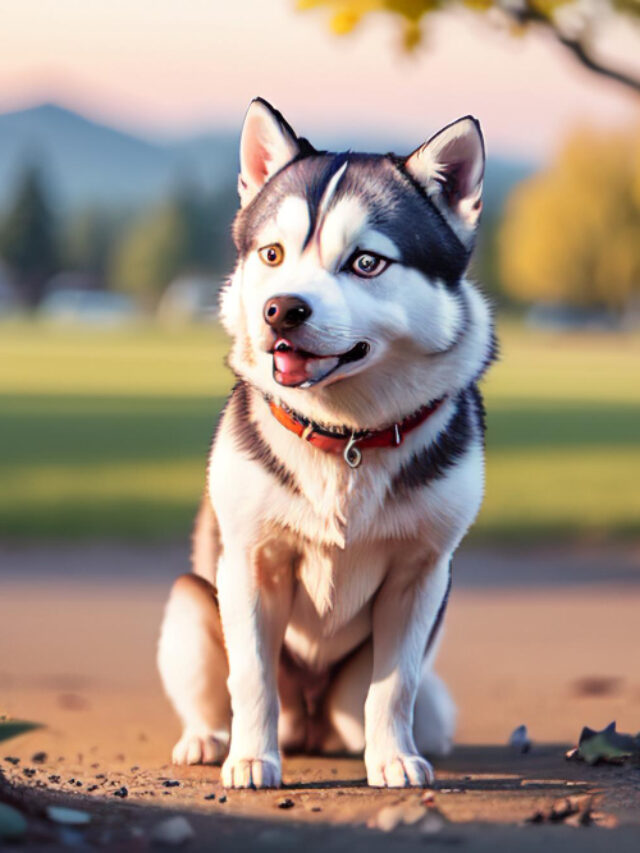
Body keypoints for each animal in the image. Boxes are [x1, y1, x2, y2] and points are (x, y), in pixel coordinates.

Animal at [159, 98, 496, 784]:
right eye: (272, 254)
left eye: (366, 262)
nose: (282, 310)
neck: (347, 433)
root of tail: (312, 723)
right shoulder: (251, 564)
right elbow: (251, 677)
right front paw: (252, 759)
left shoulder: (421, 576)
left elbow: (393, 686)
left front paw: (393, 759)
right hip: (189, 602)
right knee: (214, 683)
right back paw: (208, 739)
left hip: (421, 696)